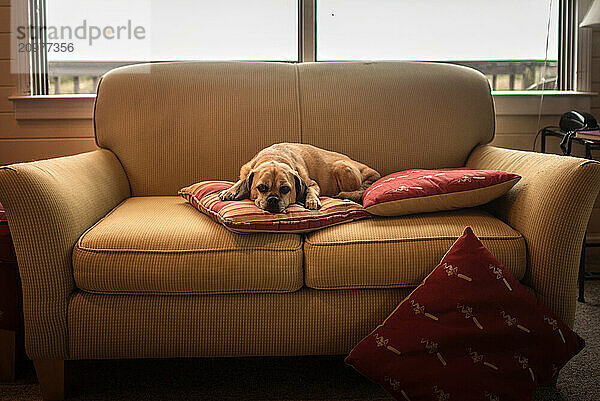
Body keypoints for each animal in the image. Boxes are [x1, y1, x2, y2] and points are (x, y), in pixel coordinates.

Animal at [219, 143, 380, 212]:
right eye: (261, 188)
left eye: (285, 189)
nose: (273, 200)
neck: (274, 156)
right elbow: (240, 180)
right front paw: (230, 190)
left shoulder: (313, 184)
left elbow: (310, 190)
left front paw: (312, 200)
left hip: (342, 166)